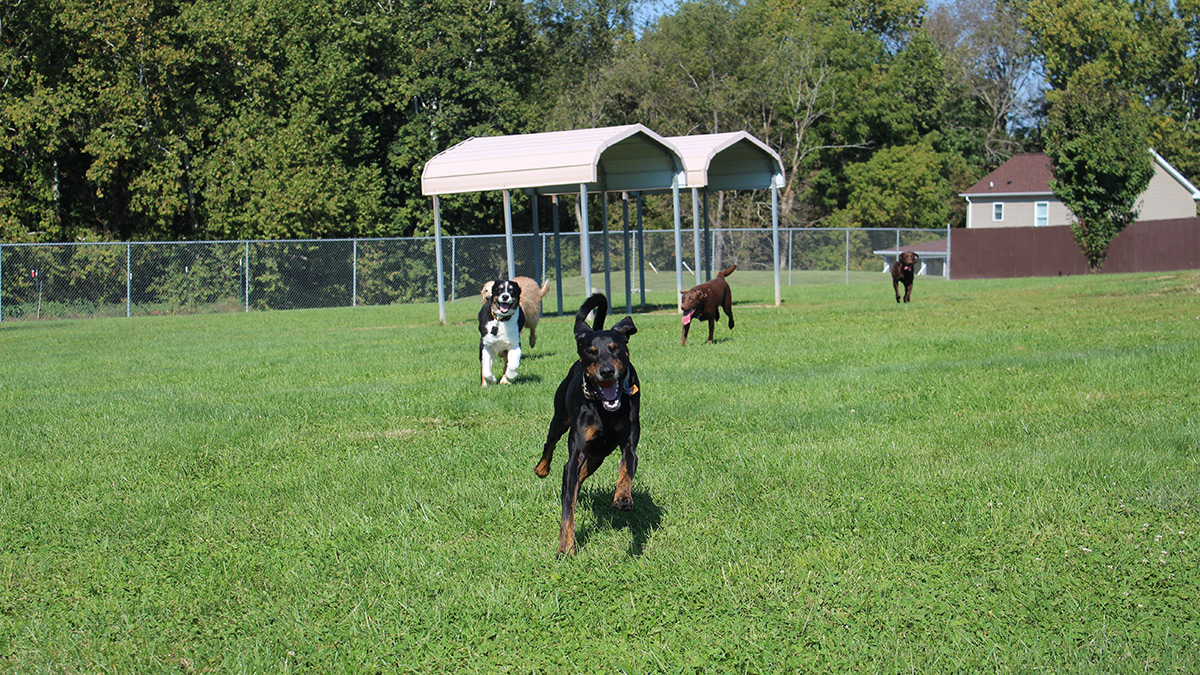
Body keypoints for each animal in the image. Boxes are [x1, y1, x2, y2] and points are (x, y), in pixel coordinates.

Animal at [537, 293, 643, 552]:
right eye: (591, 352)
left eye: (616, 349)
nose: (607, 371)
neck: (606, 410)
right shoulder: (576, 452)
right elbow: (567, 510)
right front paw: (565, 547)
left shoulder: (629, 444)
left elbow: (626, 468)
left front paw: (623, 497)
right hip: (560, 419)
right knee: (551, 443)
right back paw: (542, 469)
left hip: (598, 454)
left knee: (582, 476)